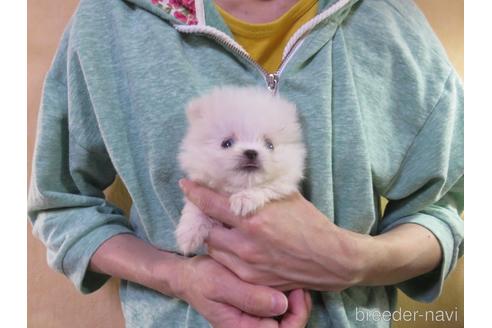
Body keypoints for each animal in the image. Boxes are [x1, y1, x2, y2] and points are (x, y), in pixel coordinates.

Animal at [175, 86, 306, 255]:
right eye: (226, 143)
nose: (251, 152)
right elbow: (194, 207)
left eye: (269, 145)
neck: (235, 188)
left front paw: (244, 199)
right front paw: (189, 233)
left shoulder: (283, 183)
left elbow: (267, 186)